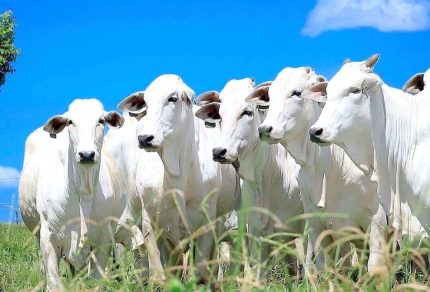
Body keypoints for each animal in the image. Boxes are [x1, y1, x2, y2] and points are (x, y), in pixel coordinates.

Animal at [19, 100, 127, 290]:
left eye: (101, 121)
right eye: (70, 122)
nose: (87, 154)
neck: (83, 190)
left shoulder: (102, 240)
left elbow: (95, 281)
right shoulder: (49, 239)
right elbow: (54, 282)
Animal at [117, 75, 239, 282]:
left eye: (172, 98)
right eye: (146, 102)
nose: (144, 138)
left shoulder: (207, 222)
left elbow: (200, 273)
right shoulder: (151, 223)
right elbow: (159, 274)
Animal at [254, 66, 388, 278]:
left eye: (296, 93)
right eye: (270, 95)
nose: (264, 129)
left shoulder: (377, 218)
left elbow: (376, 270)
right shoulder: (318, 226)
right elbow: (326, 270)